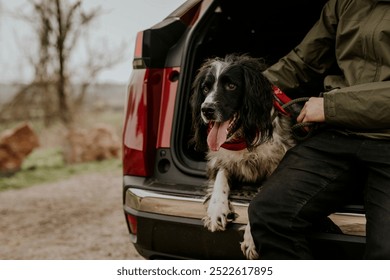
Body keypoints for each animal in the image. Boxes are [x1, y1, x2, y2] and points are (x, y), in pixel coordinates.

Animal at [191, 53, 296, 260]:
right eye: (205, 88)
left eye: (231, 86)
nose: (206, 109)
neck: (245, 137)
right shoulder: (220, 159)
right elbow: (220, 178)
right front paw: (216, 209)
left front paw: (251, 237)